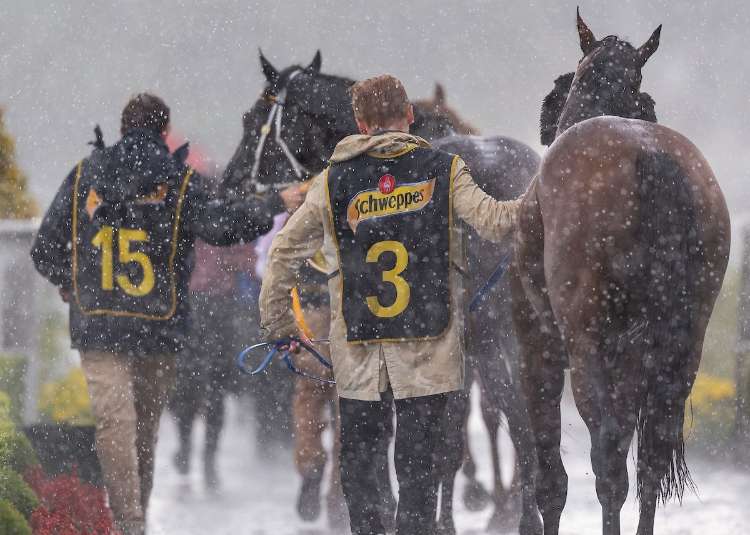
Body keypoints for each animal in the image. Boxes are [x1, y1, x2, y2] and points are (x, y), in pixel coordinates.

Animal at [512, 10, 731, 535]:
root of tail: (648, 153)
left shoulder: (537, 350)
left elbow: (550, 475)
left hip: (587, 350)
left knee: (608, 455)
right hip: (681, 347)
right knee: (651, 452)